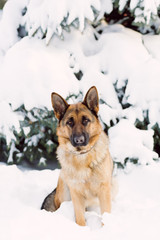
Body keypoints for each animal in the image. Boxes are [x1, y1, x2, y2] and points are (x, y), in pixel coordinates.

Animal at [41, 86, 114, 227]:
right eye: (70, 122)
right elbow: (80, 218)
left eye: (85, 120)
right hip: (64, 187)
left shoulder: (104, 190)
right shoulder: (76, 193)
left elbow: (105, 214)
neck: (82, 157)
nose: (79, 140)